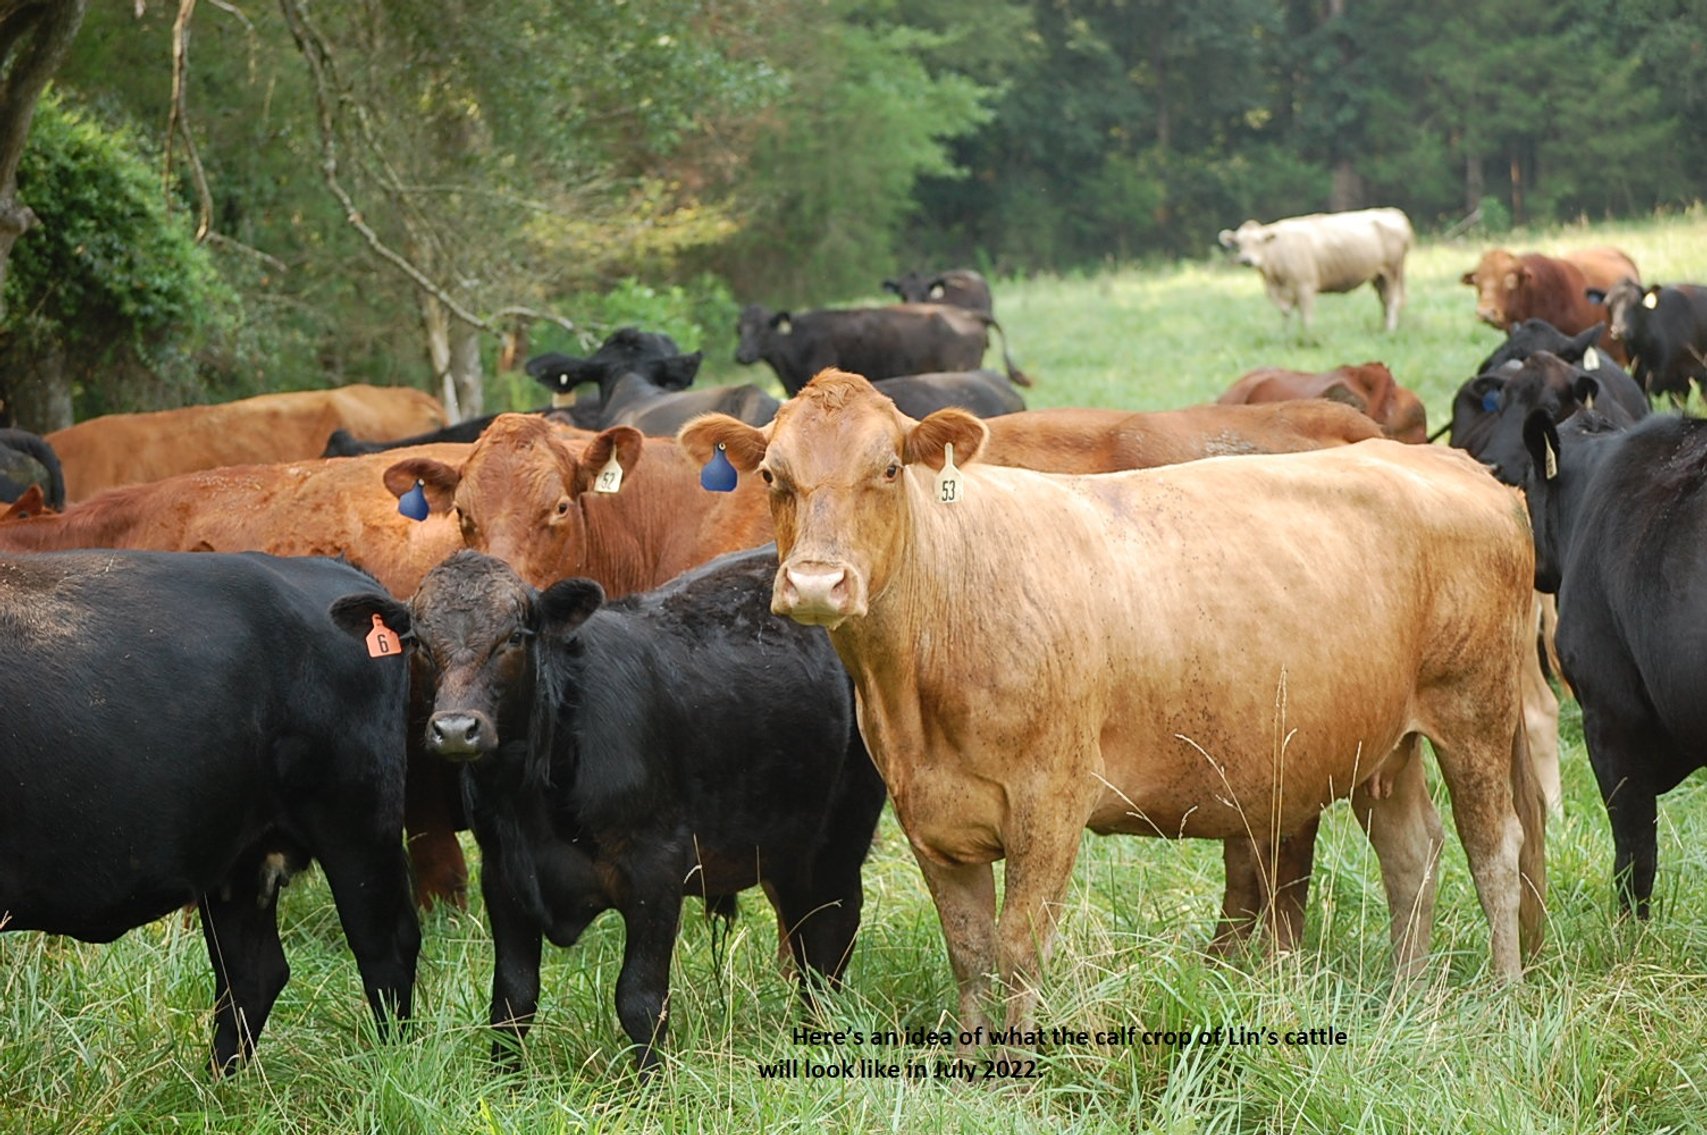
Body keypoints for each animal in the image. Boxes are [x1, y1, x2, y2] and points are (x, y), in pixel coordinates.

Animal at [0, 550, 419, 1074]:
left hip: (358, 827)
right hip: (239, 858)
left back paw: (392, 1067)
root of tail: (334, 569)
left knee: (386, 950)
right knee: (254, 973)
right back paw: (216, 1081)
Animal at [334, 548, 886, 1071]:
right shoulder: (503, 875)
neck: (532, 796)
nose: (454, 729)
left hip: (841, 830)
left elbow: (639, 999)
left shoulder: (656, 869)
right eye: (418, 642)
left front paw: (650, 1088)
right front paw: (503, 1081)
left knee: (830, 935)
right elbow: (512, 997)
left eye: (514, 637)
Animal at [1217, 207, 1413, 334]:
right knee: (1385, 301)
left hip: (1394, 271)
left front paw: (1308, 337)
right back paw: (1384, 328)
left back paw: (1390, 331)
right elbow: (1286, 313)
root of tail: (1392, 212)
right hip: (1379, 276)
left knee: (1393, 301)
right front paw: (1285, 334)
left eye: (1259, 241)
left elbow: (1306, 315)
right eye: (1238, 244)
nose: (1246, 260)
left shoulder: (1305, 285)